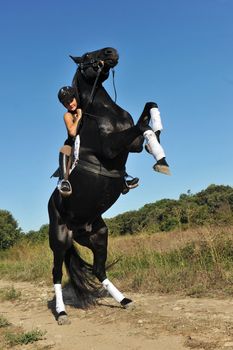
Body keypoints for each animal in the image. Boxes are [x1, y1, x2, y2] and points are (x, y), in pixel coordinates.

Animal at [48, 47, 154, 326]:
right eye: (86, 56)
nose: (111, 51)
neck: (103, 112)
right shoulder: (112, 146)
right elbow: (139, 125)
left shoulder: (134, 145)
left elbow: (144, 122)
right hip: (60, 239)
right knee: (56, 273)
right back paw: (61, 313)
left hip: (97, 235)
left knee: (97, 269)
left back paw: (125, 300)